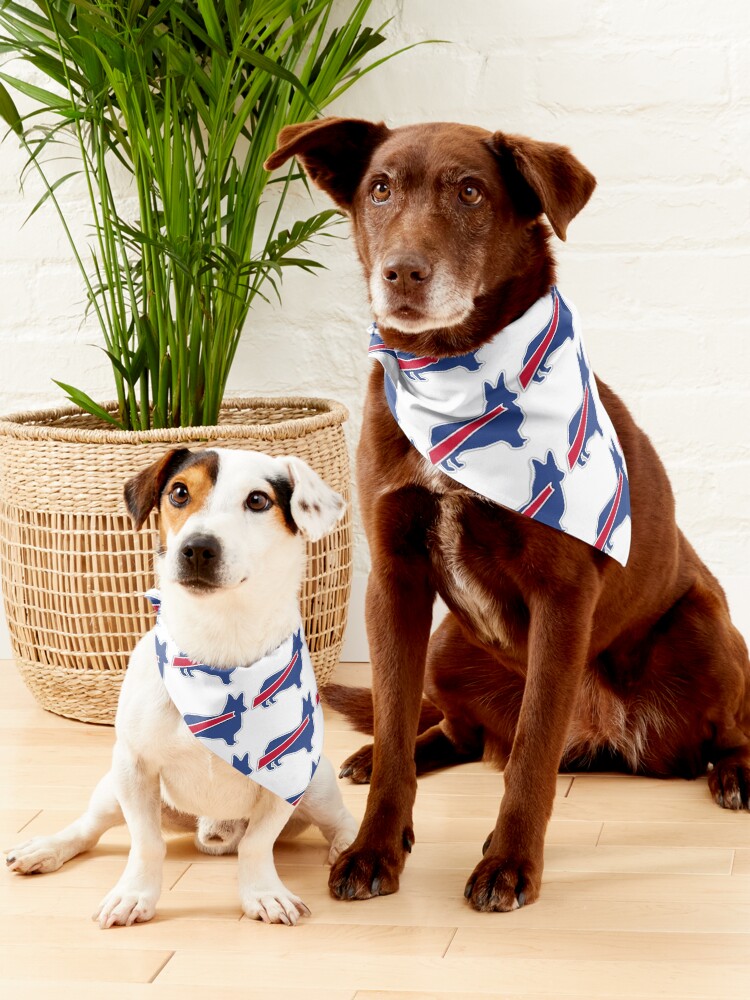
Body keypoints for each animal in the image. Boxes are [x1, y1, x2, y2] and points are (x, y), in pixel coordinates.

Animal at [5, 450, 358, 924]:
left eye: (258, 500)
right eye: (179, 492)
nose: (198, 547)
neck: (217, 644)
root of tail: (213, 829)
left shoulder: (286, 778)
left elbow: (257, 844)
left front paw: (262, 893)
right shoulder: (133, 766)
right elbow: (146, 843)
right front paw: (134, 894)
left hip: (316, 784)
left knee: (340, 820)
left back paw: (349, 849)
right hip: (112, 788)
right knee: (88, 828)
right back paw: (46, 848)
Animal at [266, 121, 750, 912]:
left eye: (470, 192)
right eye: (380, 188)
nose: (402, 273)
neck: (452, 372)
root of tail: (611, 740)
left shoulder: (562, 597)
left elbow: (530, 753)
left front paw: (508, 863)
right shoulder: (393, 581)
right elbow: (397, 722)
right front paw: (374, 847)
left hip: (703, 632)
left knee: (728, 726)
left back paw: (735, 773)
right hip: (448, 647)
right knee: (454, 730)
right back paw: (380, 754)